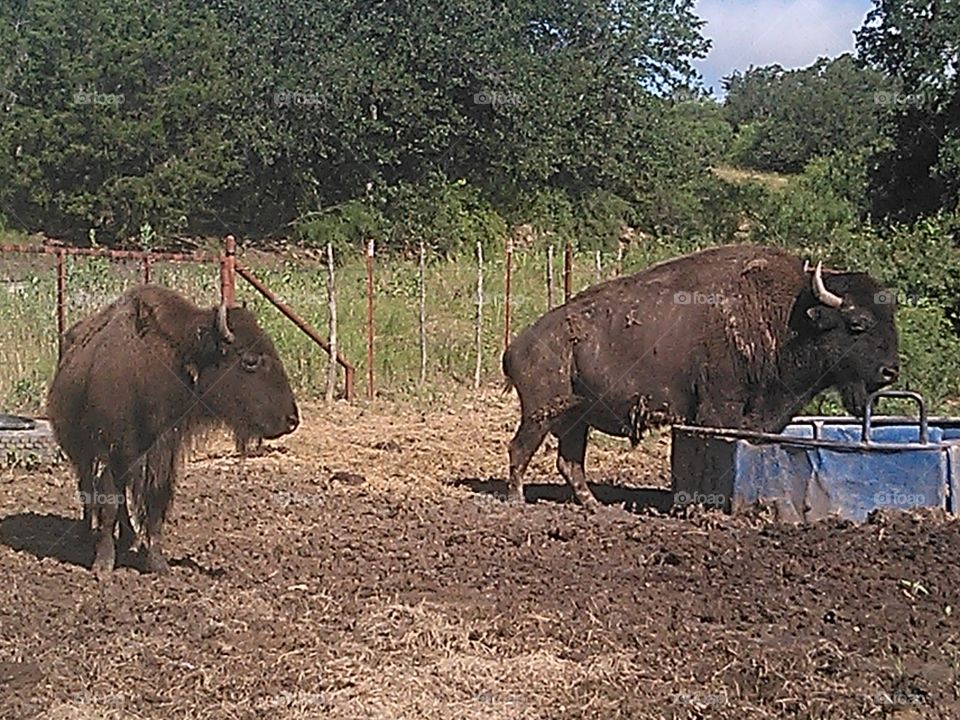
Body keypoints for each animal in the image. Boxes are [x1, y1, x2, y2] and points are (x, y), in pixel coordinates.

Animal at [47, 284, 299, 574]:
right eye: (250, 360)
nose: (292, 419)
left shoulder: (161, 449)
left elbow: (155, 502)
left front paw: (157, 563)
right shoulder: (110, 448)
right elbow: (109, 502)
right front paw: (103, 565)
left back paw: (129, 538)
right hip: (81, 452)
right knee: (87, 488)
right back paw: (88, 534)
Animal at [502, 244, 900, 507]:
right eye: (857, 323)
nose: (890, 372)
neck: (789, 316)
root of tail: (517, 345)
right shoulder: (719, 409)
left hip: (575, 418)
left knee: (569, 461)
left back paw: (593, 505)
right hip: (541, 413)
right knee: (520, 449)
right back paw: (518, 500)